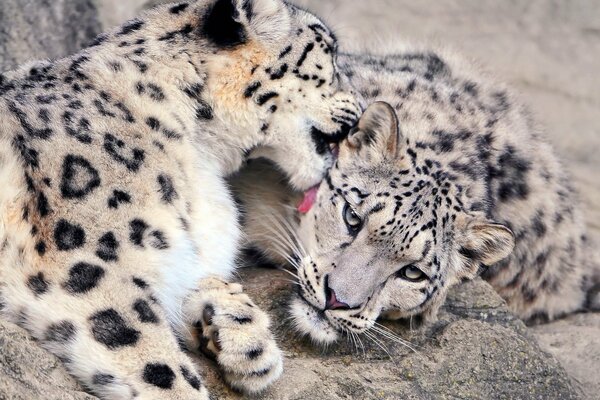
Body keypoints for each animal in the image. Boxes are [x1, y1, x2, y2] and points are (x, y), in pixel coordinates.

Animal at [0, 0, 360, 396]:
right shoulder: (87, 265)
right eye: (329, 51)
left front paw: (247, 337)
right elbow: (155, 360)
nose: (361, 106)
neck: (201, 157)